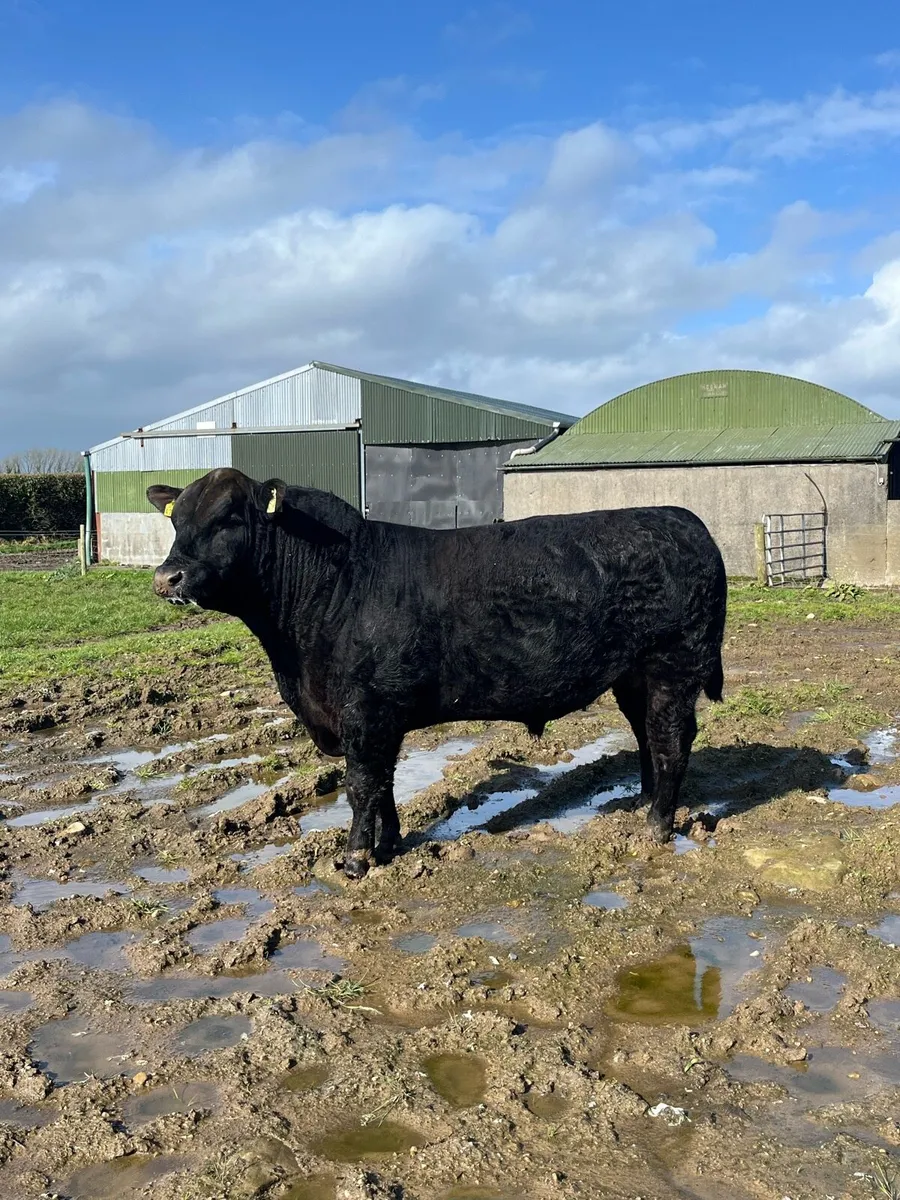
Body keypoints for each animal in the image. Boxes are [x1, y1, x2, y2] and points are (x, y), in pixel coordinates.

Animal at [147, 468, 726, 880]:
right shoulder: (379, 716)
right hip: (633, 676)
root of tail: (685, 520)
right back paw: (642, 803)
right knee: (647, 735)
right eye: (176, 521)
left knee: (670, 740)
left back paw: (656, 827)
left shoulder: (365, 711)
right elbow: (384, 784)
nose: (167, 577)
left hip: (673, 666)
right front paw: (388, 845)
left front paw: (354, 860)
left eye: (228, 517)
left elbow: (362, 784)